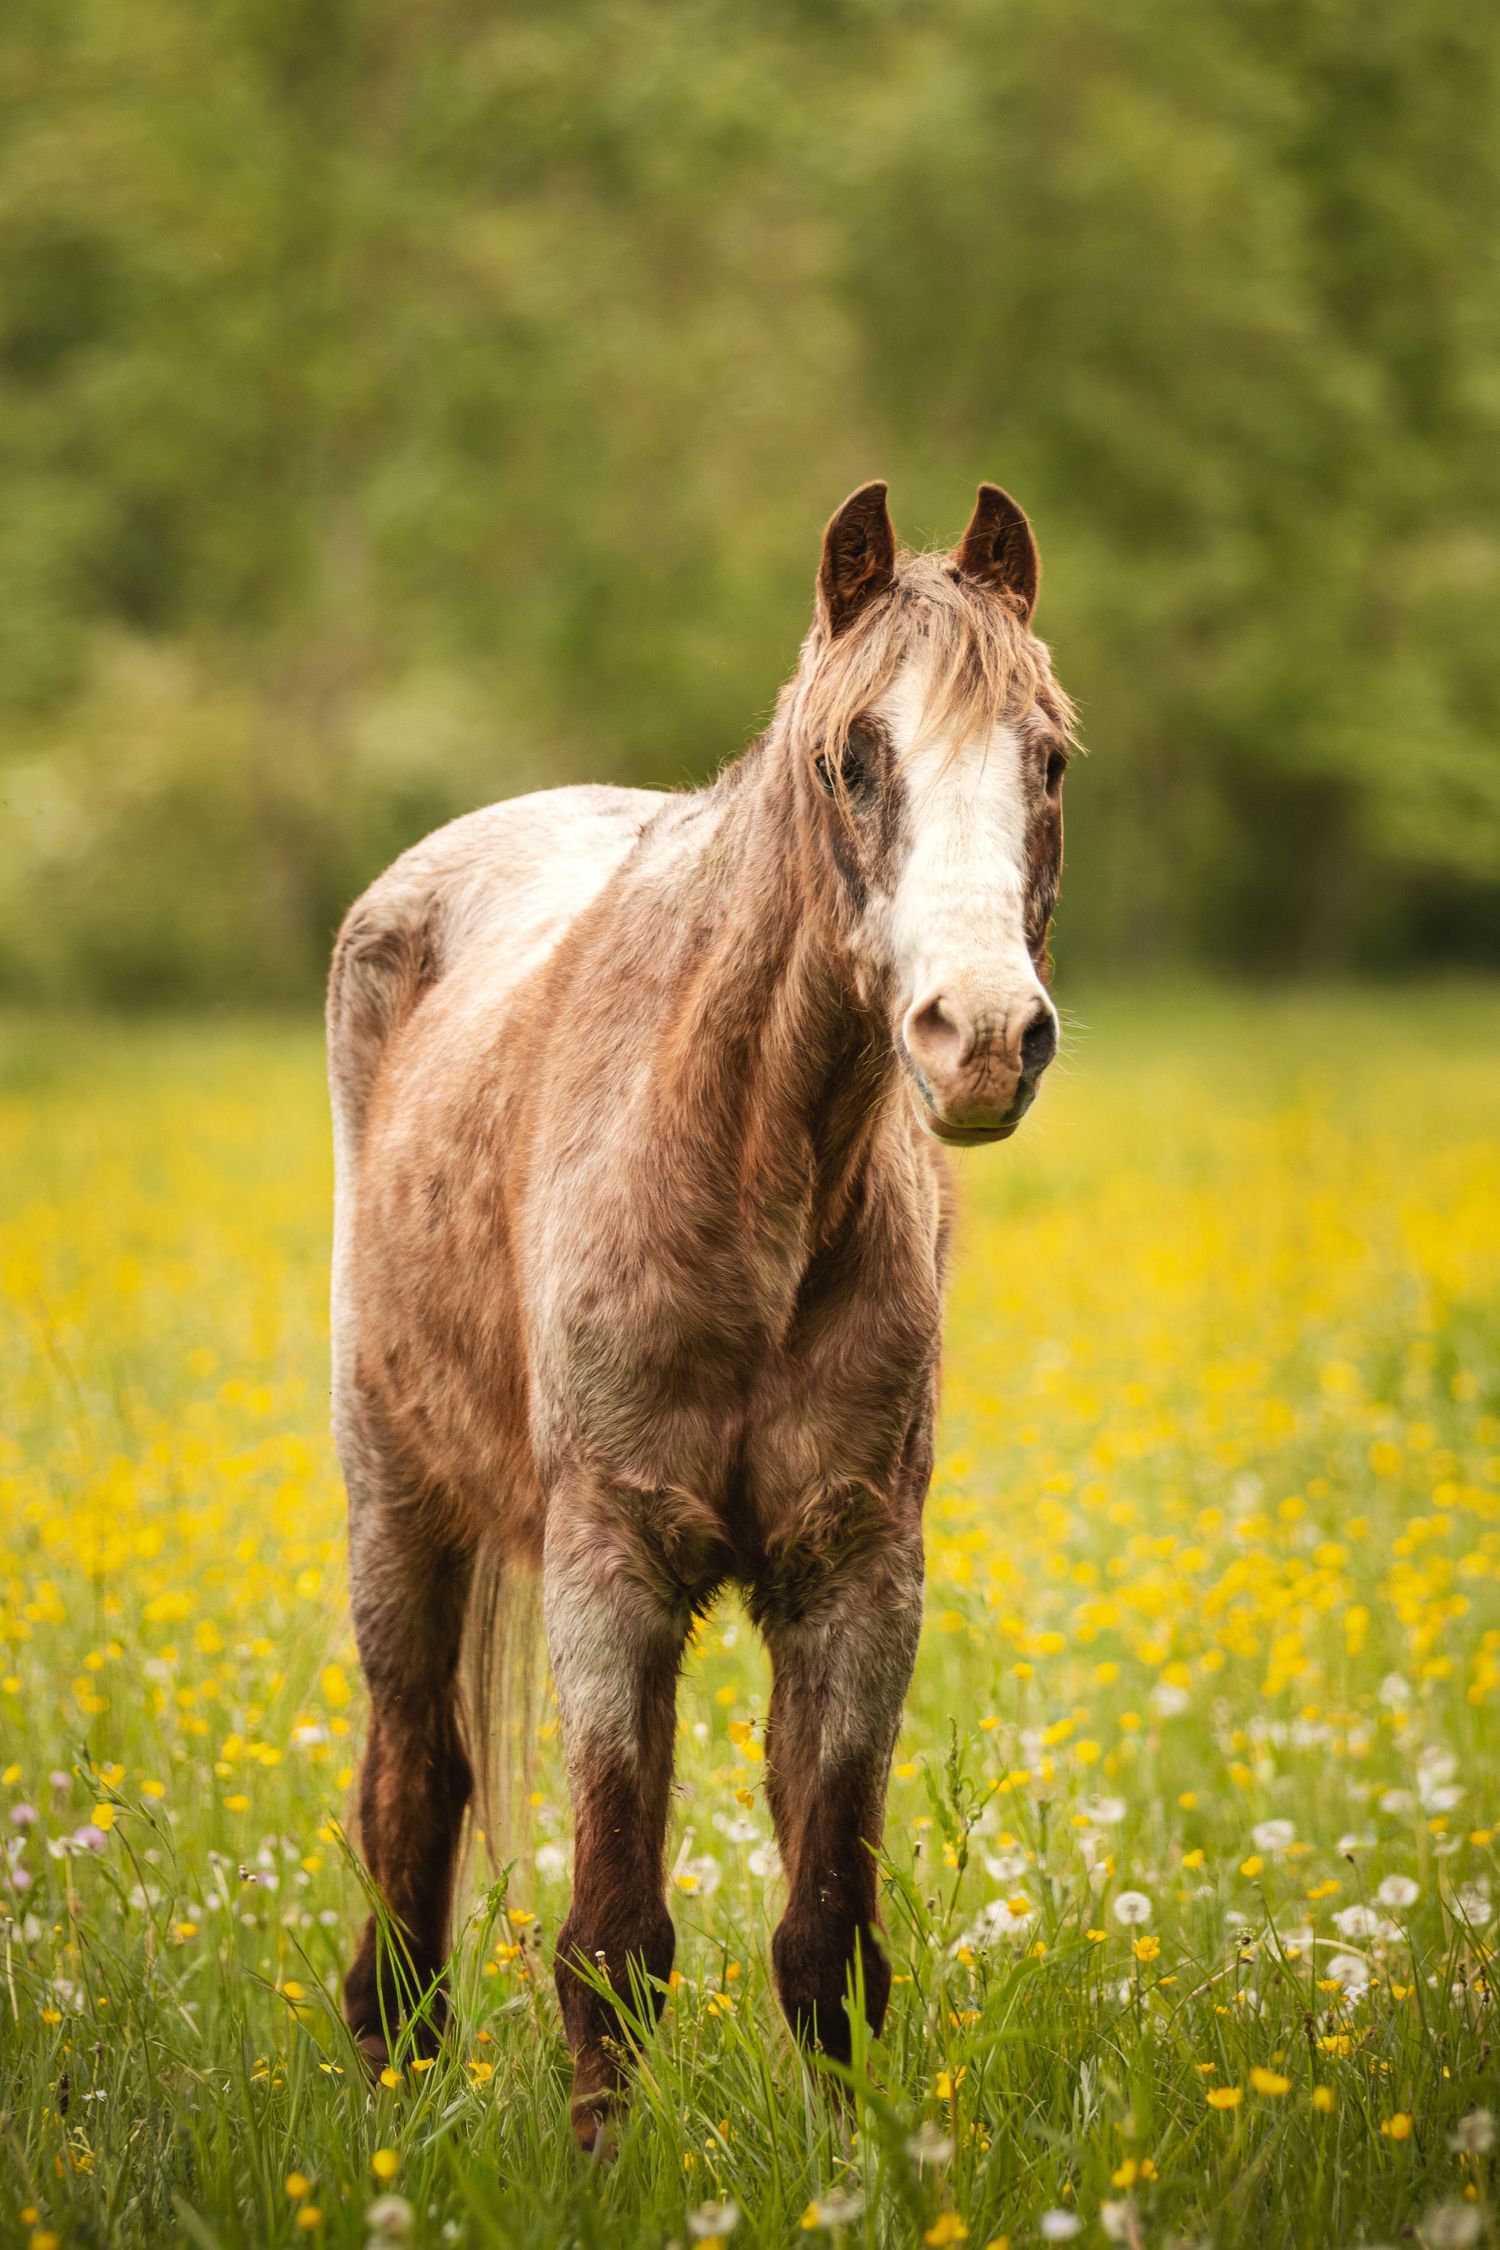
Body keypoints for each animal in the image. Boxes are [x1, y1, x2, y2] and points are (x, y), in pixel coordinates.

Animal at [326, 479, 1076, 2147]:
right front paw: (604, 2172)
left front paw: (854, 2171)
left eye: (1050, 756)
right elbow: (612, 1936)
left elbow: (829, 1937)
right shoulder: (610, 1568)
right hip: (397, 1504)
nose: (984, 1038)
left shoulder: (858, 1579)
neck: (747, 1181)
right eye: (853, 755)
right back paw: (393, 2118)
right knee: (413, 1795)